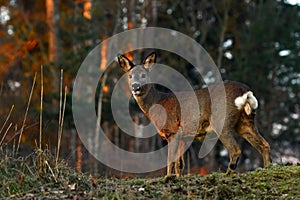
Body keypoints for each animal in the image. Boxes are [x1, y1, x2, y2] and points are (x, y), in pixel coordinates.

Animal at [117, 52, 272, 177]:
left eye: (143, 75)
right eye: (130, 76)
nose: (135, 86)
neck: (157, 103)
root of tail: (245, 92)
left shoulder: (173, 130)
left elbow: (170, 161)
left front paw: (167, 178)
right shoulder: (184, 137)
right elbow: (180, 164)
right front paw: (178, 178)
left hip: (222, 122)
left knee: (236, 150)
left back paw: (228, 174)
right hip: (245, 122)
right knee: (265, 144)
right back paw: (267, 169)